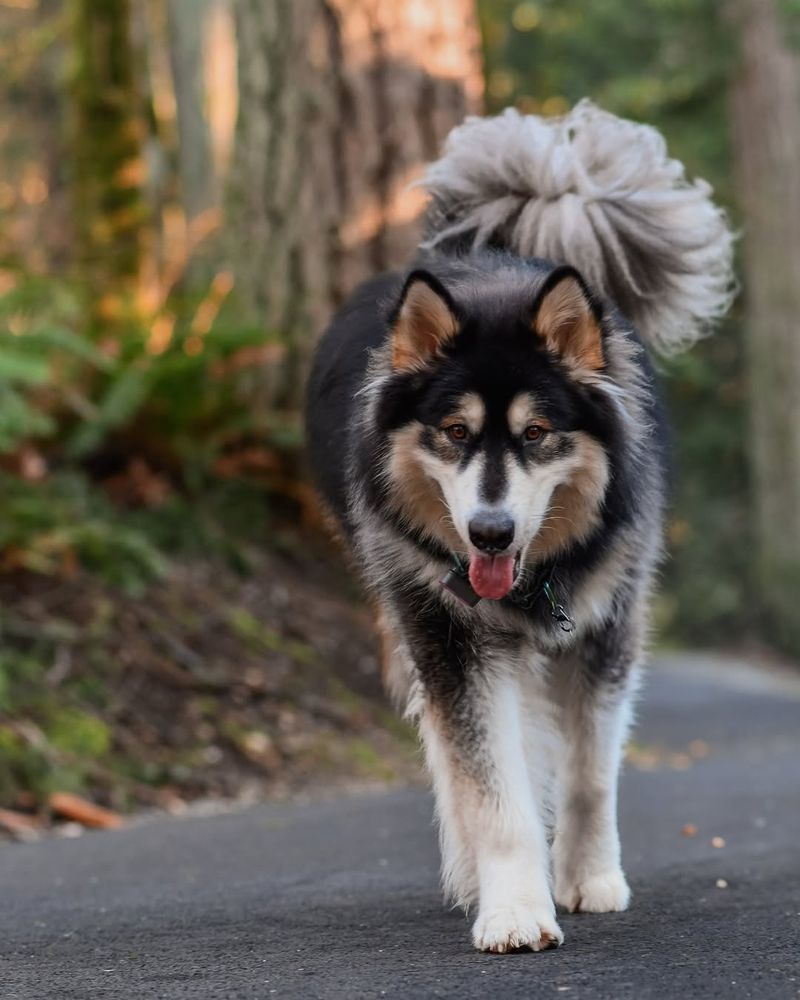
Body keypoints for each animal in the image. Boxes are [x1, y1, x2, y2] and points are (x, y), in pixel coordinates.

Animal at [304, 101, 732, 952]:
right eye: (455, 433)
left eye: (536, 434)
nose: (491, 533)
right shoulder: (452, 638)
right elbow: (491, 785)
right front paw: (512, 905)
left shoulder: (607, 627)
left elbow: (589, 774)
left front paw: (589, 876)